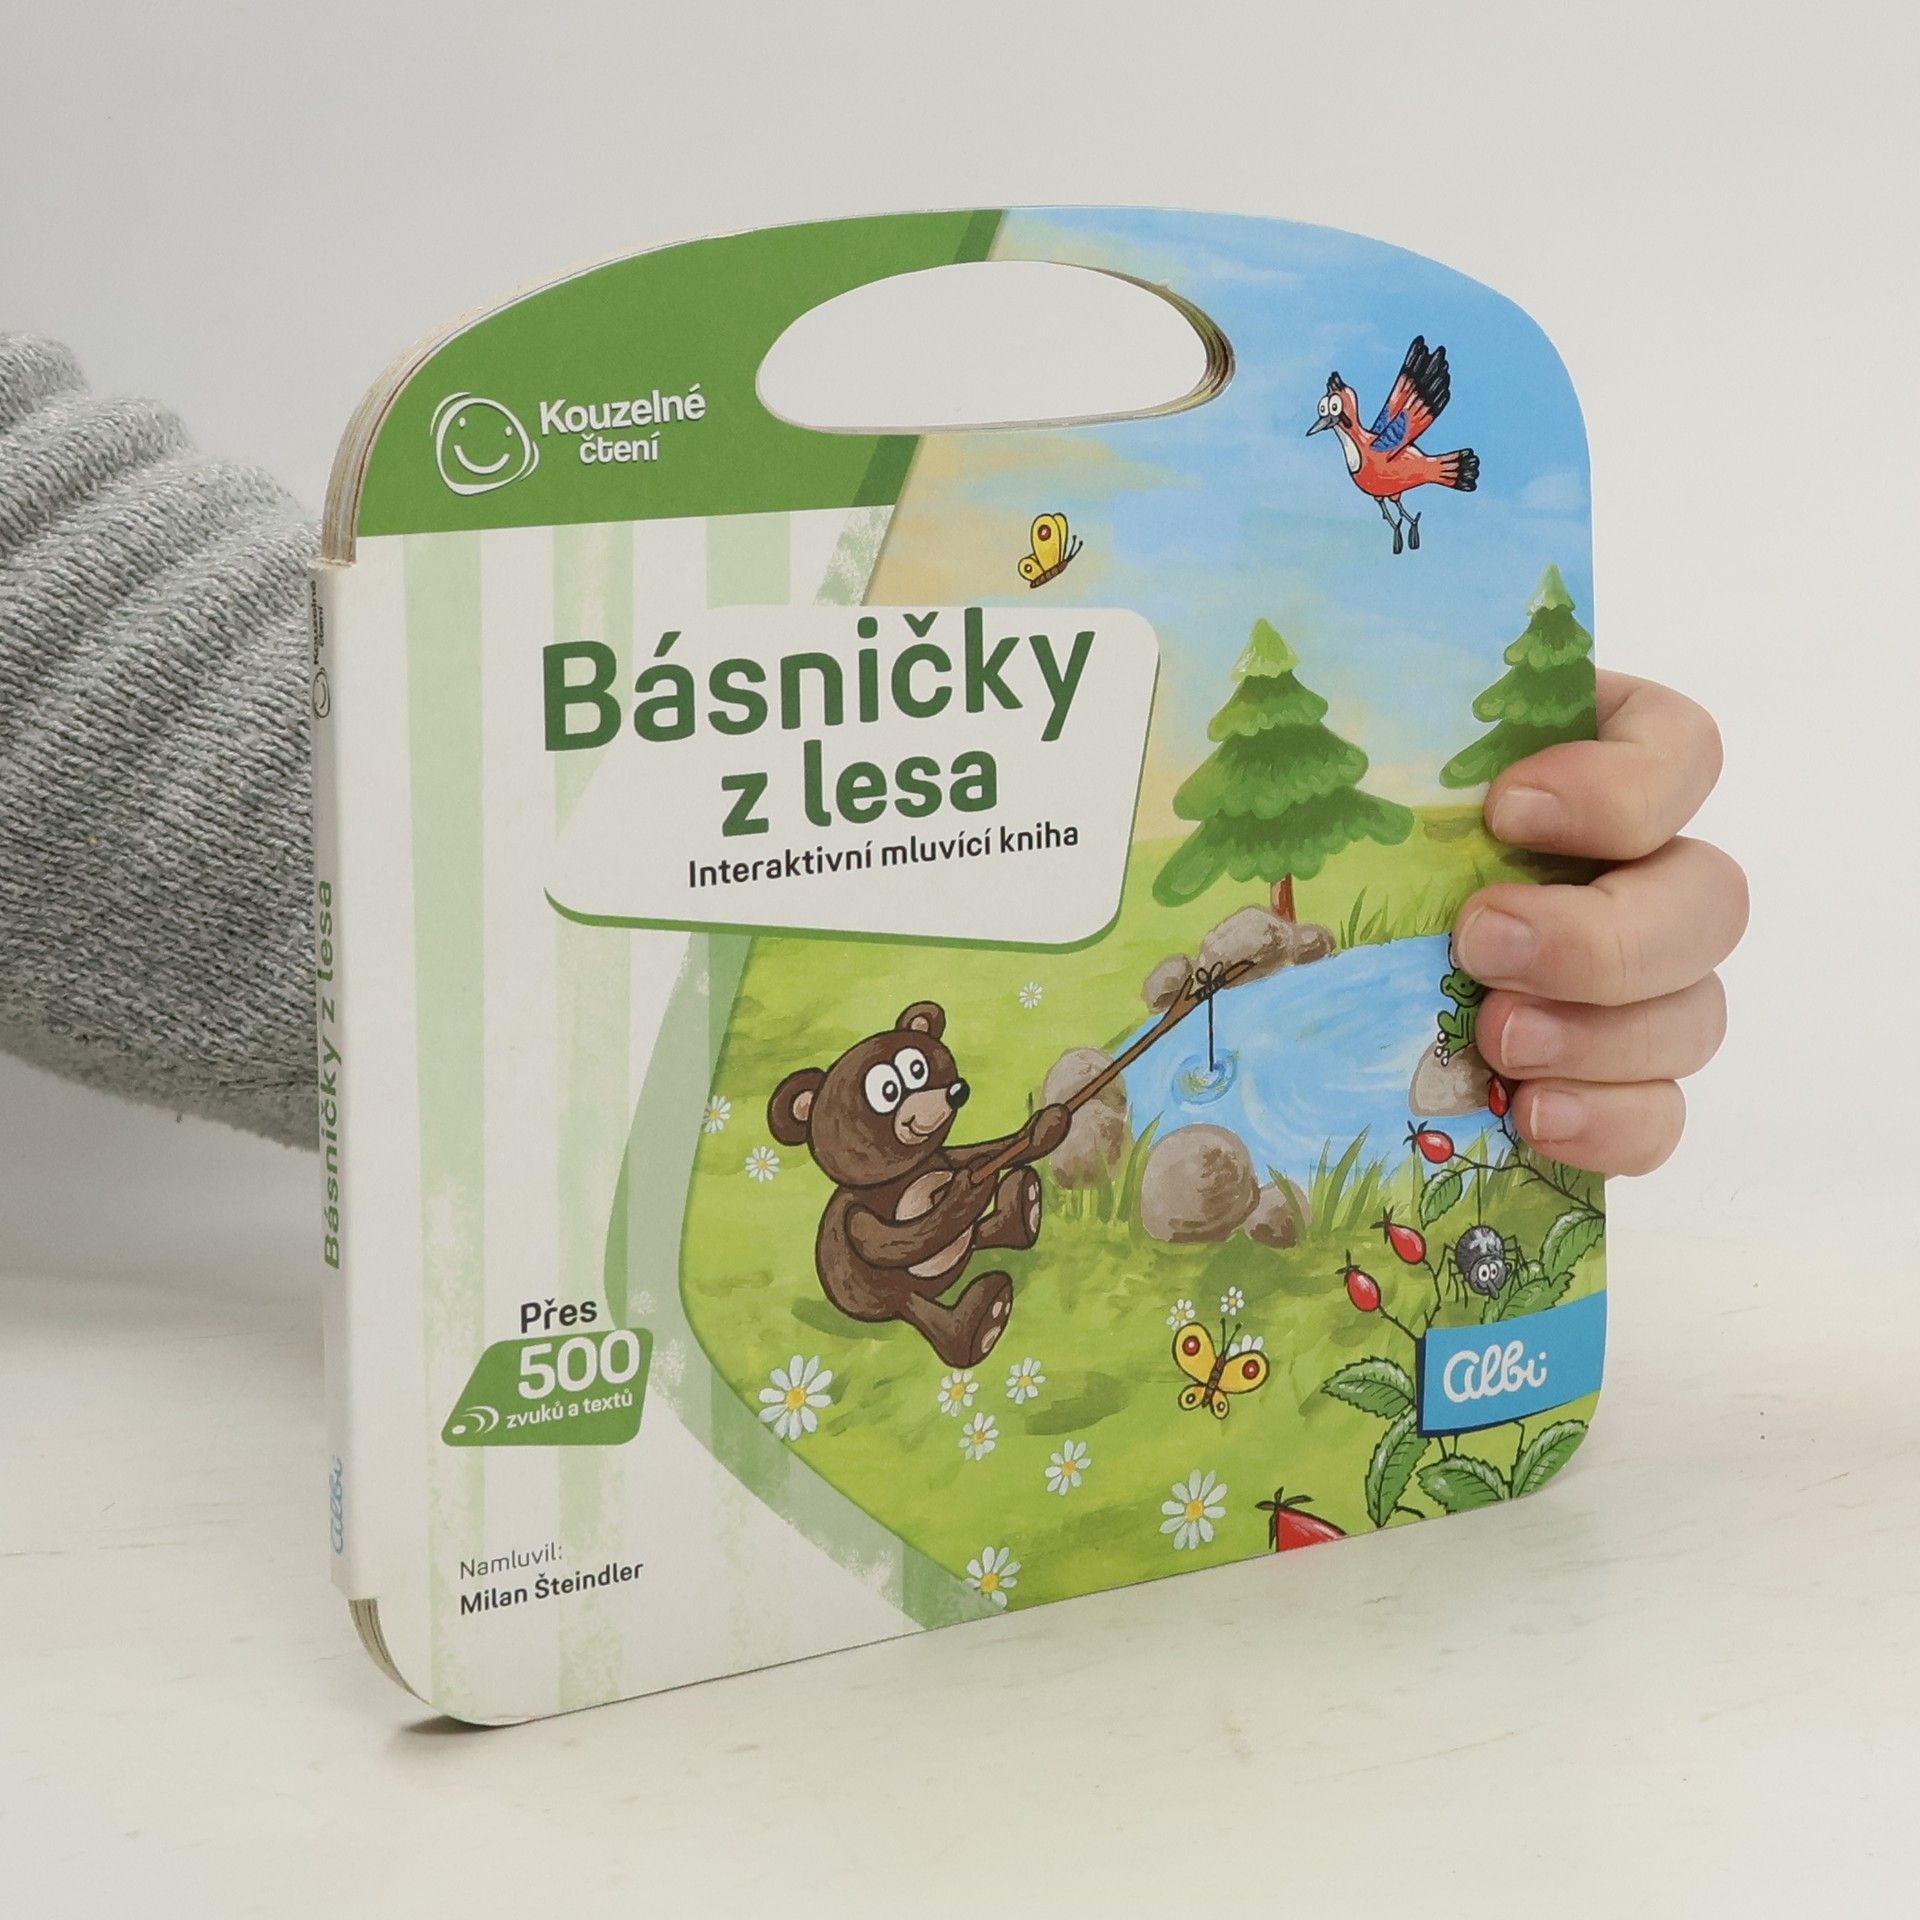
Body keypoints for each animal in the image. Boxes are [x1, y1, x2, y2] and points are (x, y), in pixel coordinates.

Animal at [767, 1002, 1072, 1368]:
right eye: (888, 1091)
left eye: (918, 1068)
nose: (956, 1092)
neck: (903, 1176)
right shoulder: (858, 1215)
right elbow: (895, 1241)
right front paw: (968, 1190)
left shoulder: (942, 1157)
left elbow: (984, 1151)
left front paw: (1044, 1128)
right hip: (892, 1296)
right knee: (923, 1308)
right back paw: (985, 1319)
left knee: (978, 1235)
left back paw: (1024, 1207)